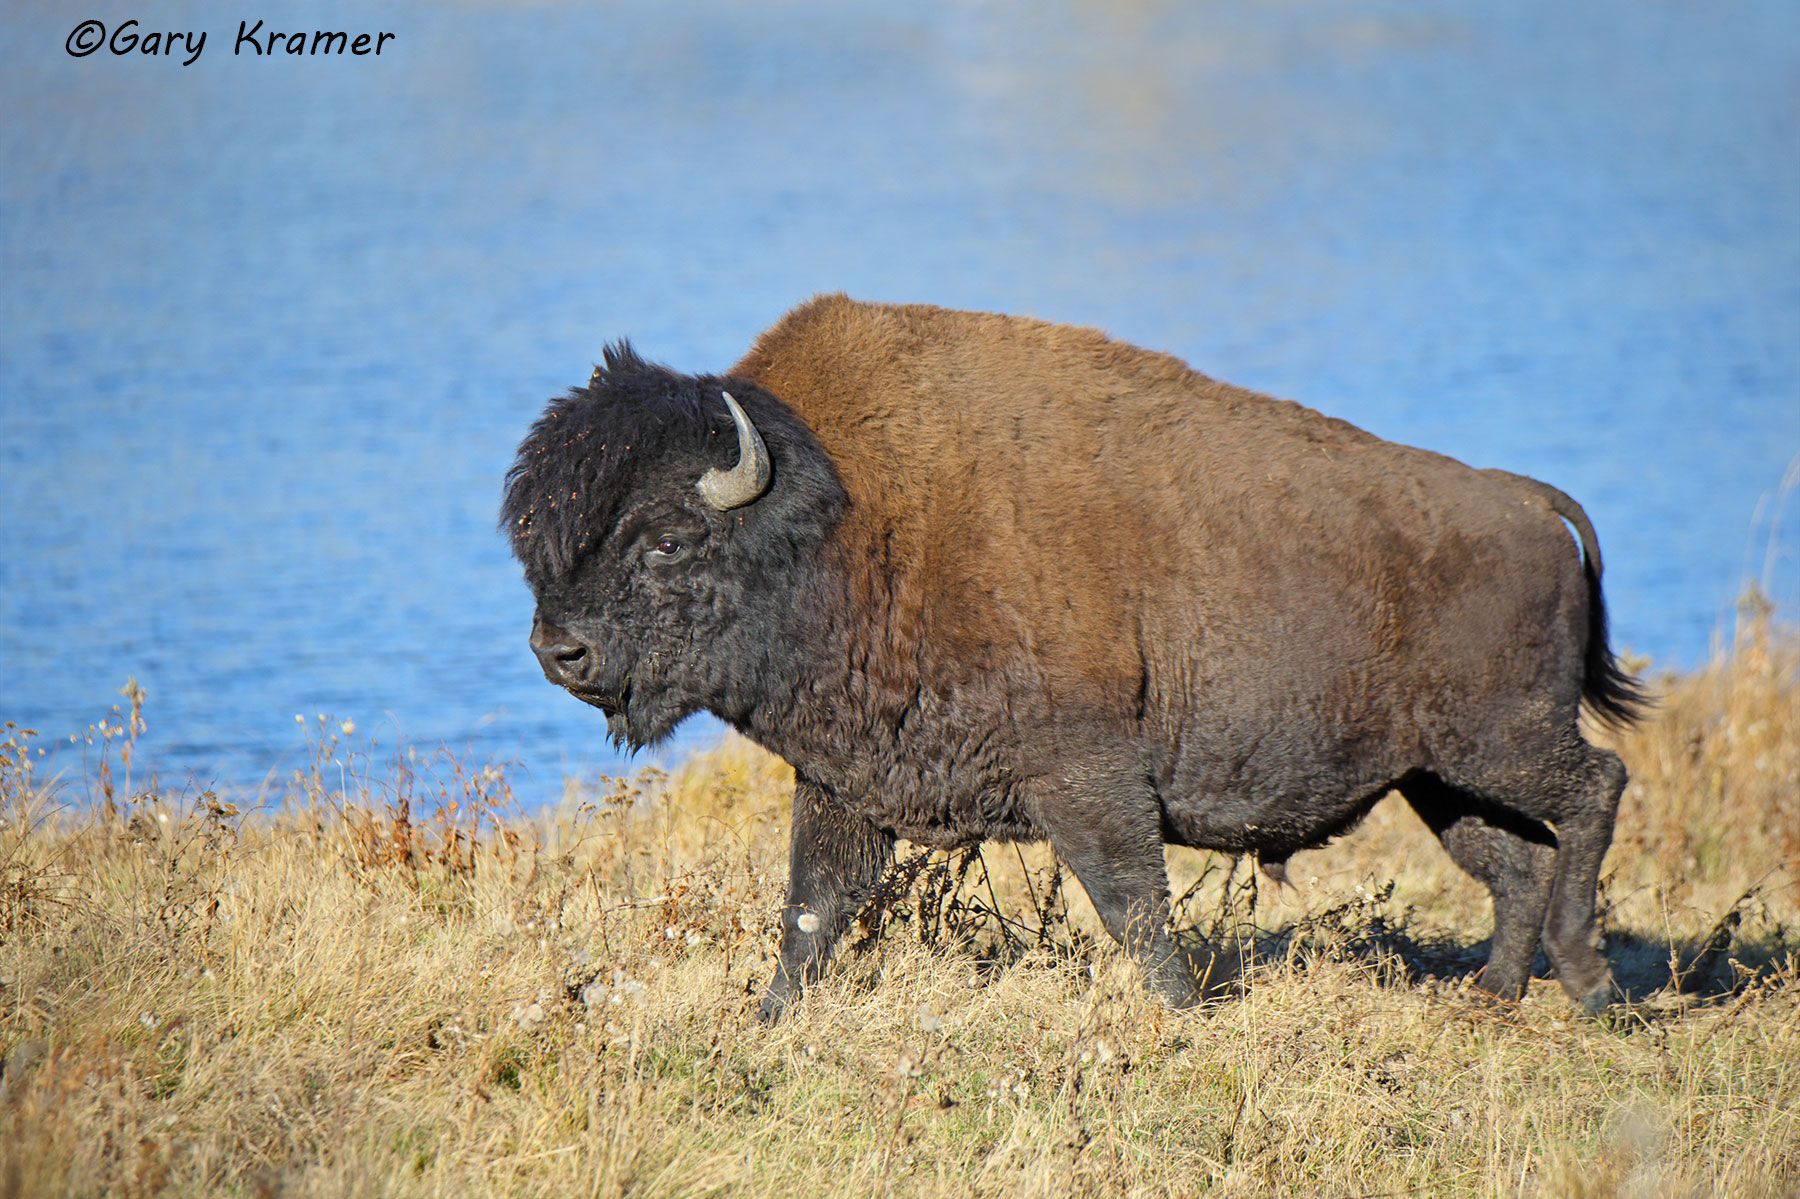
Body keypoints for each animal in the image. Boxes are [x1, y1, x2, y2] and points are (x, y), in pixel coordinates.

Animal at [503, 295, 1645, 1020]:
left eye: (666, 539)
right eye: (540, 541)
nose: (559, 649)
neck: (845, 516)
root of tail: (1527, 502)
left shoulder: (1086, 777)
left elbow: (1132, 905)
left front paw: (1185, 1015)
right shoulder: (843, 785)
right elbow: (811, 910)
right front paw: (770, 1020)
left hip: (1497, 740)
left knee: (1596, 787)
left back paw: (1589, 981)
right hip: (1438, 776)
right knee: (1516, 859)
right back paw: (1494, 993)